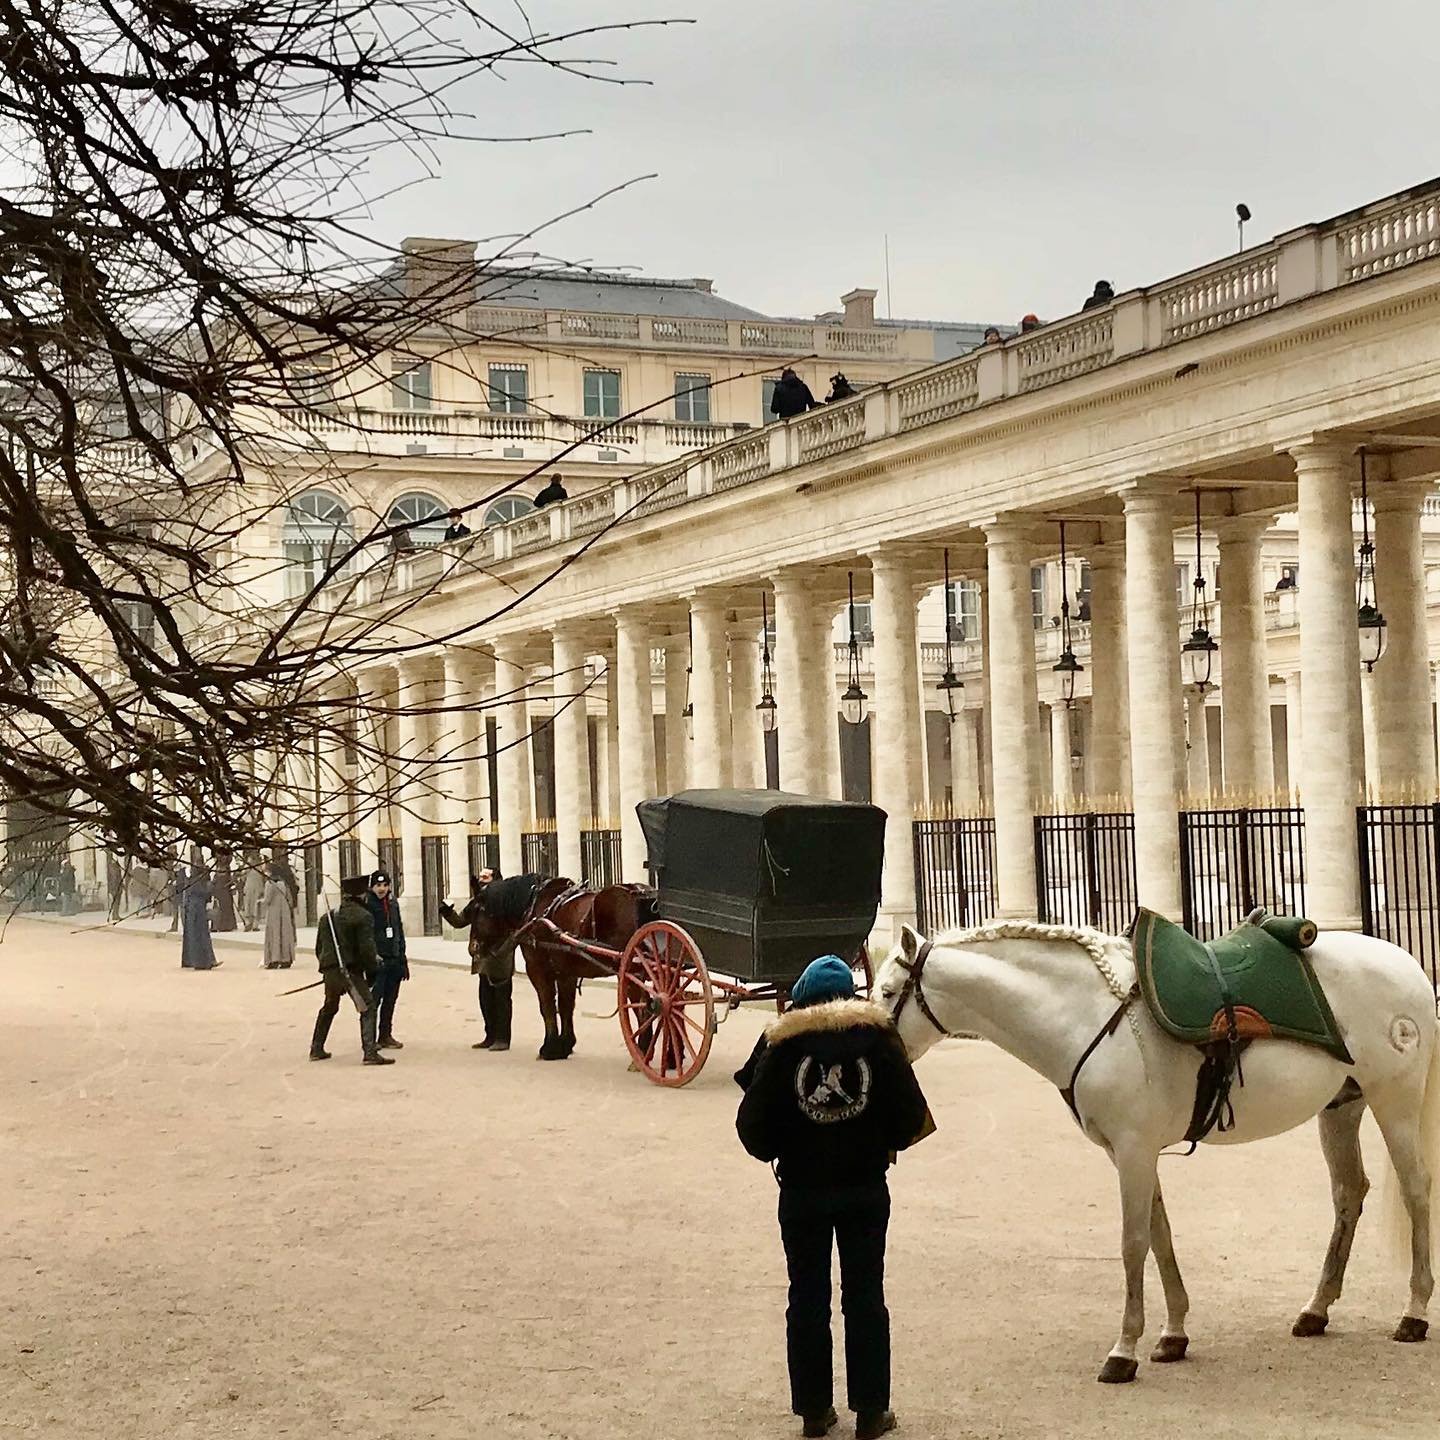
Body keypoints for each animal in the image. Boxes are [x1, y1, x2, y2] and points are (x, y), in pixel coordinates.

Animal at [446, 869, 656, 1065]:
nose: (472, 948)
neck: (537, 907)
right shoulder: (566, 973)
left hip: (631, 971)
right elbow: (565, 1006)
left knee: (645, 1010)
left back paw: (641, 1055)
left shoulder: (538, 969)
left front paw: (549, 1048)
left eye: (476, 910)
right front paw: (565, 1045)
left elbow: (546, 1005)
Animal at [869, 921, 1440, 1382]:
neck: (1091, 1014)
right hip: (1341, 1108)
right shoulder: (1133, 1152)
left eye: (890, 991)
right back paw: (1316, 1309)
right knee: (1348, 1193)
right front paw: (1173, 1333)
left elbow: (1132, 1243)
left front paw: (1124, 1350)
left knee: (1415, 1190)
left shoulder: (1133, 1150)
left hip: (1394, 1102)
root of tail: (1408, 964)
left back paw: (1413, 1312)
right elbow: (1160, 1236)